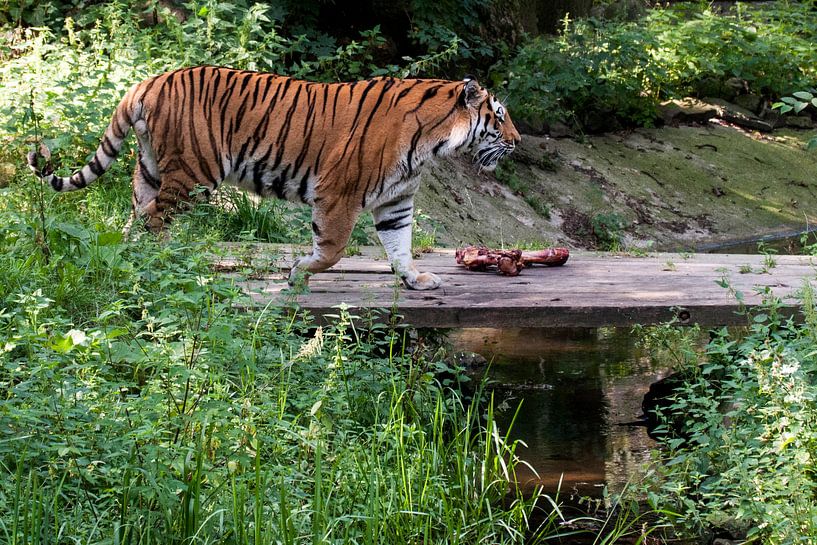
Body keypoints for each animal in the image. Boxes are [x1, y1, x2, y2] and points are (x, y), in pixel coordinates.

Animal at [27, 66, 520, 290]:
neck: (432, 143)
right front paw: (299, 273)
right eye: (499, 117)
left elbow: (400, 246)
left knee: (134, 216)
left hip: (151, 166)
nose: (517, 142)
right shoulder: (339, 193)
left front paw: (415, 280)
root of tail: (149, 81)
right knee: (153, 216)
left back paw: (130, 262)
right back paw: (171, 265)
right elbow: (333, 250)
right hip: (195, 172)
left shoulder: (395, 202)